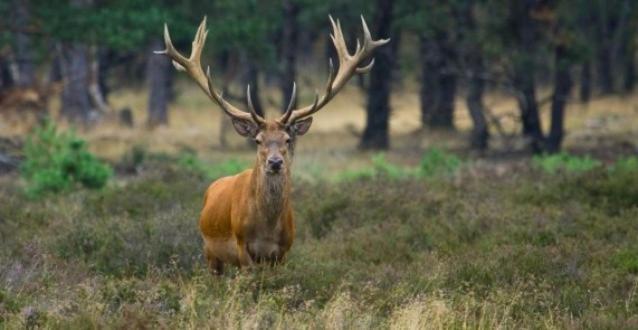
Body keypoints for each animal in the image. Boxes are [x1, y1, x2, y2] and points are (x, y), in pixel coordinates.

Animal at [160, 15, 390, 274]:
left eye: (287, 139)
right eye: (258, 140)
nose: (275, 162)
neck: (266, 229)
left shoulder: (283, 252)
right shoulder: (242, 246)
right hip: (210, 252)